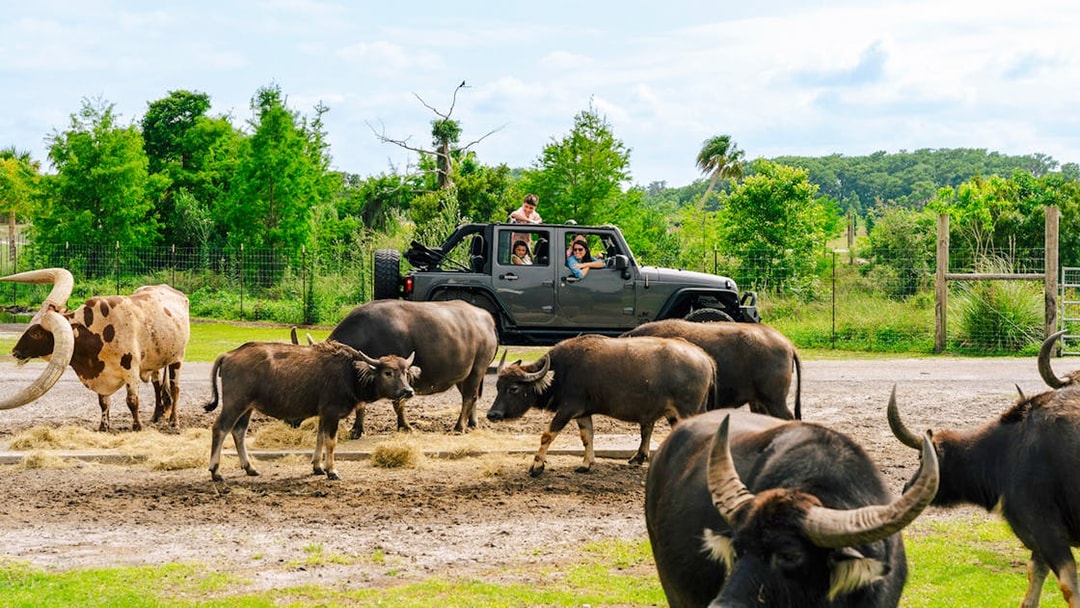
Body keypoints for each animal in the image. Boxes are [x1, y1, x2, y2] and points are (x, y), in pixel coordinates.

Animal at [205, 340, 419, 481]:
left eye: (406, 372)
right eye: (388, 372)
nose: (408, 391)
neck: (350, 373)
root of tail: (229, 355)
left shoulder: (323, 414)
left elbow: (320, 437)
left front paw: (318, 467)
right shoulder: (331, 413)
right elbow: (330, 441)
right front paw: (332, 471)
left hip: (247, 408)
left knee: (238, 432)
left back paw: (250, 468)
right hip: (235, 403)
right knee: (220, 429)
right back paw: (216, 471)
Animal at [325, 300, 498, 437]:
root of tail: (488, 319)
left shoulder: (400, 379)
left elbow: (398, 404)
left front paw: (405, 426)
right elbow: (361, 404)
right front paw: (357, 430)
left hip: (477, 370)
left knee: (469, 397)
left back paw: (459, 427)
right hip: (464, 375)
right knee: (472, 396)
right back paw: (472, 424)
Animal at [487, 334, 716, 476]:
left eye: (513, 388)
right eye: (498, 386)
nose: (492, 414)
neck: (561, 372)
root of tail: (704, 357)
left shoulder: (567, 410)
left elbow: (547, 435)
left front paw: (536, 466)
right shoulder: (582, 413)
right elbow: (587, 437)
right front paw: (586, 464)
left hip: (687, 410)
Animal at [889, 335, 1080, 608]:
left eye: (921, 457)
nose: (906, 488)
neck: (1007, 450)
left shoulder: (1047, 529)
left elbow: (1068, 585)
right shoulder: (1041, 539)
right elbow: (1034, 577)